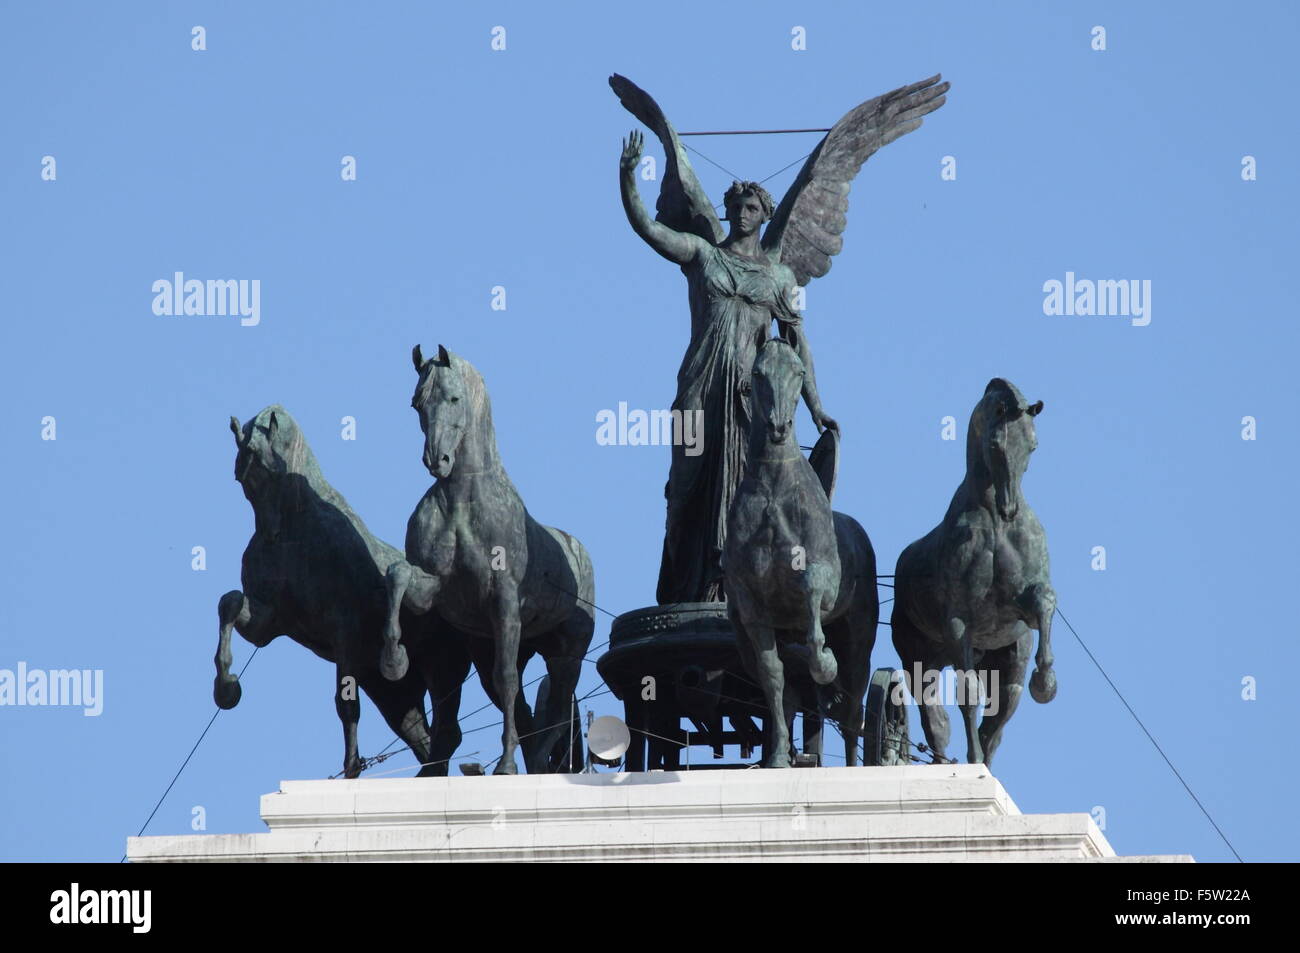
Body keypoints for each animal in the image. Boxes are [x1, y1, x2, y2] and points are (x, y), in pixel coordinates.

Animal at [210, 405, 475, 774]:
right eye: (243, 479)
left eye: (264, 467)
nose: (271, 534)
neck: (296, 530)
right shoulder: (269, 623)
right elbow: (230, 603)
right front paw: (226, 688)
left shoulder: (344, 630)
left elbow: (346, 703)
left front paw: (352, 767)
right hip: (395, 695)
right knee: (424, 737)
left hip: (441, 667)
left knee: (447, 731)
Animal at [379, 343, 595, 774]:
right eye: (417, 403)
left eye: (453, 398)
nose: (437, 460)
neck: (463, 502)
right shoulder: (435, 589)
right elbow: (397, 575)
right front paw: (393, 659)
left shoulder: (505, 602)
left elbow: (508, 679)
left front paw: (506, 766)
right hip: (489, 646)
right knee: (524, 709)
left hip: (566, 653)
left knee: (556, 707)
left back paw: (533, 761)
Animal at [722, 340, 883, 764]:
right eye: (758, 374)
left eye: (798, 373)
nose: (779, 428)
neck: (774, 494)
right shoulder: (751, 608)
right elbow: (773, 676)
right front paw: (778, 756)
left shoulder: (821, 583)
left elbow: (811, 597)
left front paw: (824, 662)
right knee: (793, 694)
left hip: (858, 639)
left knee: (853, 709)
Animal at [894, 379, 1055, 764]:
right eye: (996, 443)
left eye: (1033, 445)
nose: (1010, 508)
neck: (996, 525)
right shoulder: (959, 623)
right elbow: (967, 696)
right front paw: (973, 757)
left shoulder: (1021, 609)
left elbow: (1044, 600)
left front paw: (1046, 681)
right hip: (922, 660)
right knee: (935, 716)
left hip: (1004, 662)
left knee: (1001, 712)